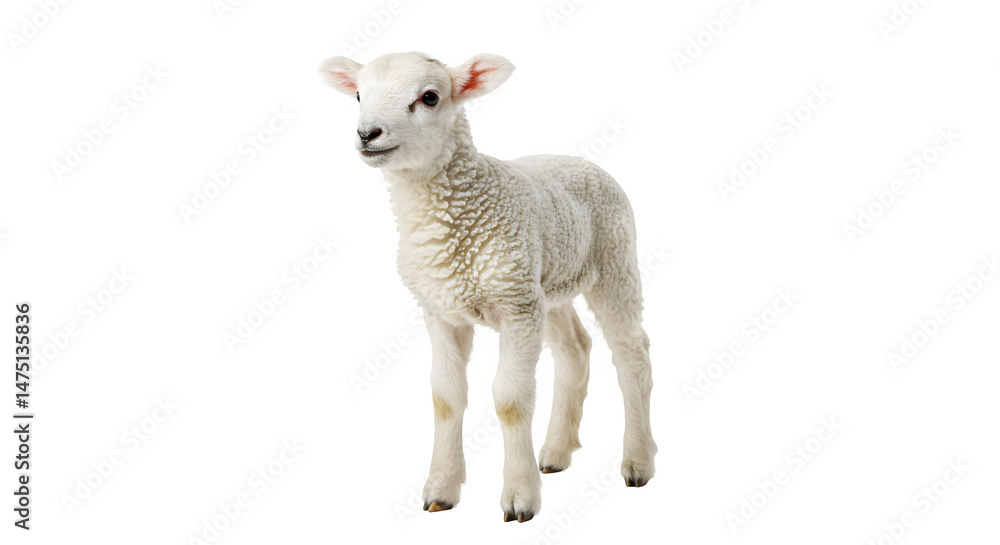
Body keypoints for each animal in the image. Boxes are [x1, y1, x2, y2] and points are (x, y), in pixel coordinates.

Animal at [318, 51, 657, 522]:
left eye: (429, 97)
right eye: (357, 95)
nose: (367, 134)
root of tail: (583, 161)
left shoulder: (516, 309)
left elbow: (510, 400)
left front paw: (519, 497)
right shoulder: (443, 310)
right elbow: (445, 396)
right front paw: (440, 490)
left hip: (613, 261)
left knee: (632, 355)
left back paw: (638, 461)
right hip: (547, 284)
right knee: (575, 348)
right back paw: (555, 453)